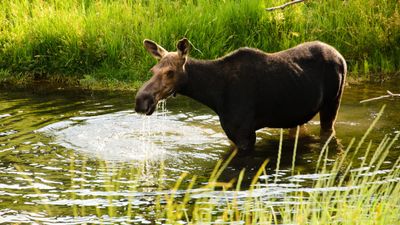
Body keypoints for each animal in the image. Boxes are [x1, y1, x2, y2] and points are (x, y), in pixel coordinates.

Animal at [135, 38, 346, 154]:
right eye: (153, 70)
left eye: (170, 72)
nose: (141, 100)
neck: (213, 95)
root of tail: (341, 56)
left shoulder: (245, 134)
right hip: (297, 115)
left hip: (332, 103)